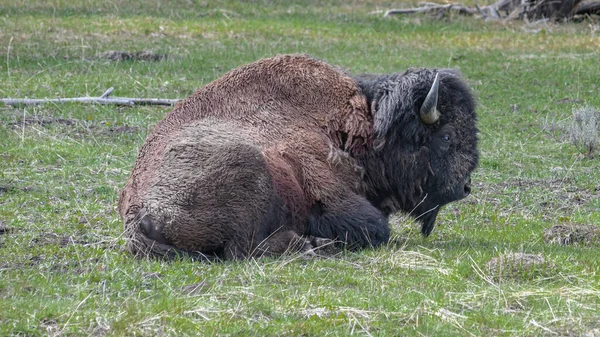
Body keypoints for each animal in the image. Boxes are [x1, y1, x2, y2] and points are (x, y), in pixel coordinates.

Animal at [118, 53, 478, 260]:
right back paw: (312, 245)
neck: (361, 125)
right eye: (446, 136)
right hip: (250, 170)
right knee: (242, 249)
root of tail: (135, 212)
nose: (464, 187)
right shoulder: (330, 193)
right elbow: (377, 228)